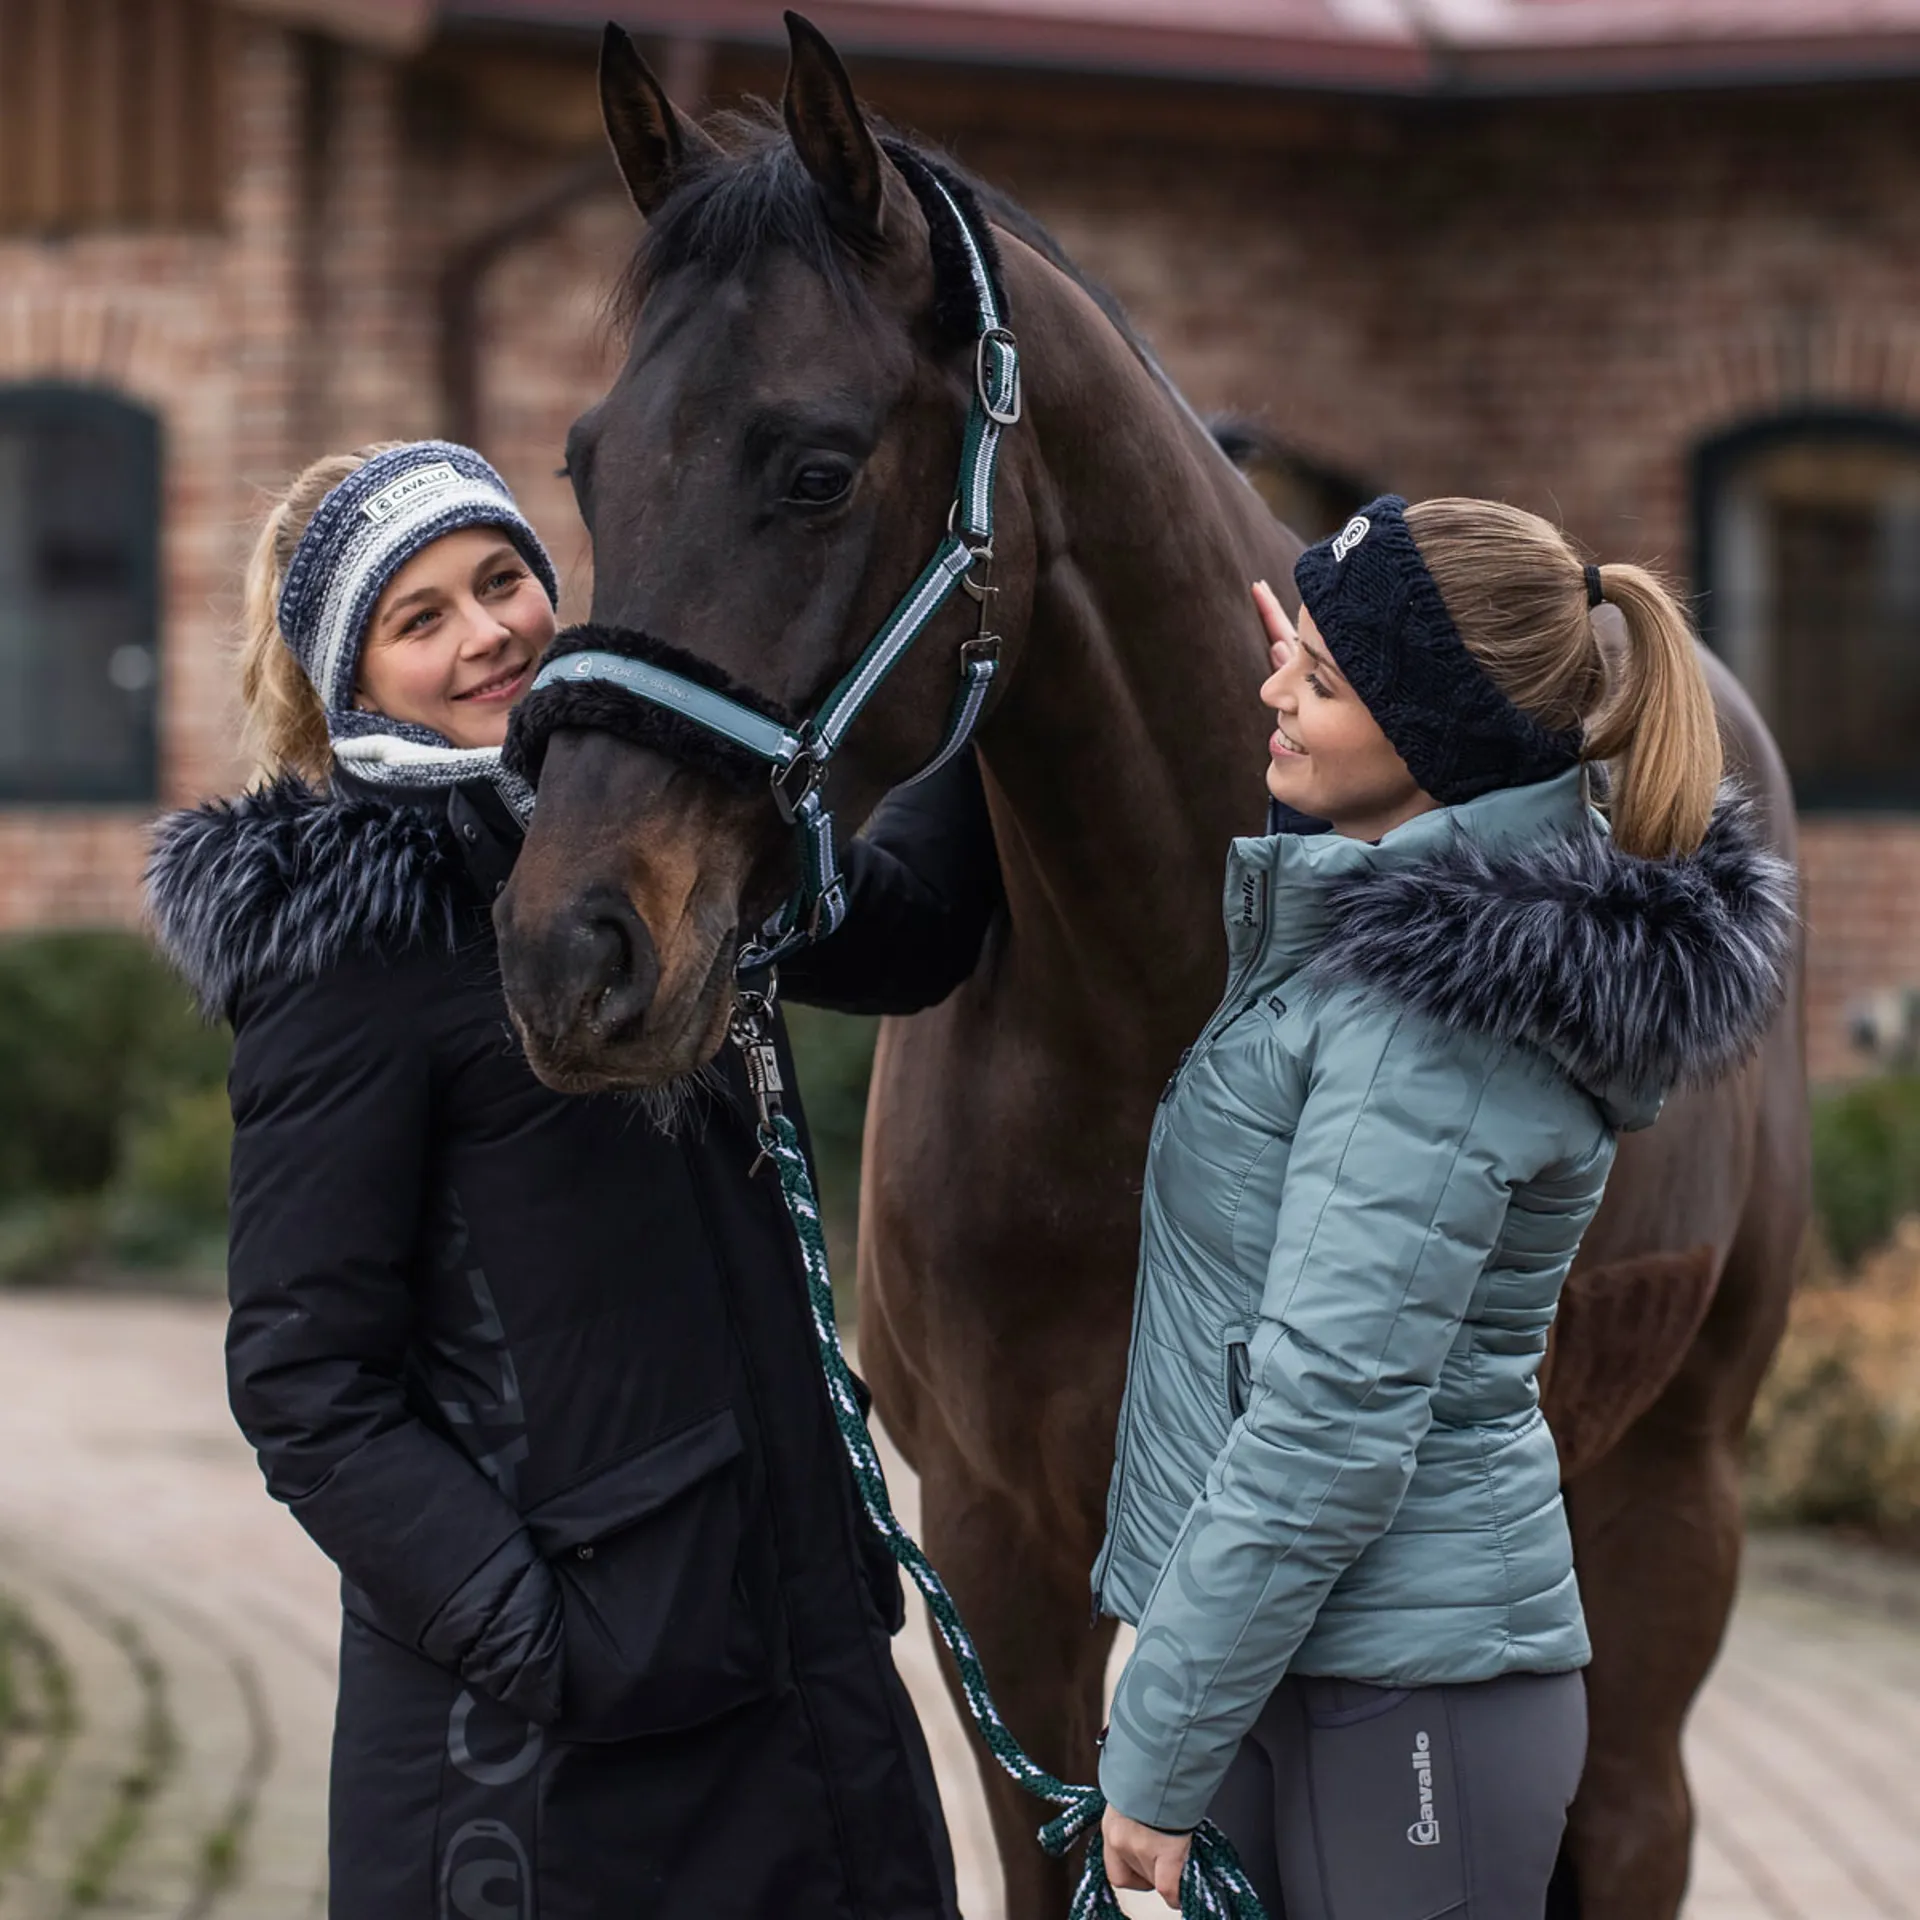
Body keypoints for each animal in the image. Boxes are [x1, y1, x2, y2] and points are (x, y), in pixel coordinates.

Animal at [493, 19, 1808, 1917]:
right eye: (592, 460)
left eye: (815, 466)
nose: (573, 948)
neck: (1150, 1003)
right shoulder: (1005, 1558)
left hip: (1666, 1498)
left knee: (1632, 1815)